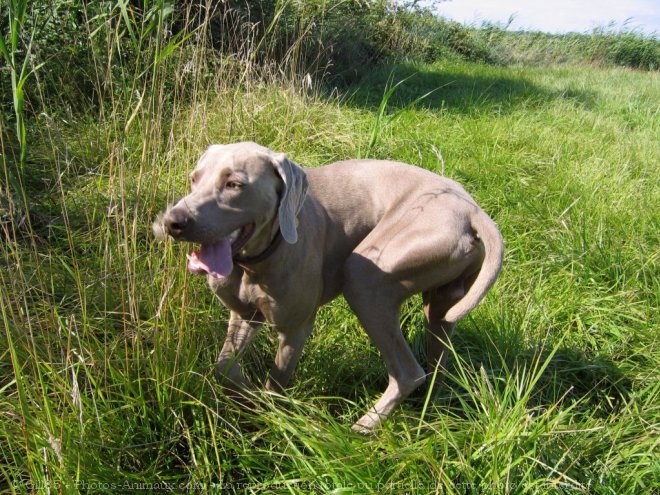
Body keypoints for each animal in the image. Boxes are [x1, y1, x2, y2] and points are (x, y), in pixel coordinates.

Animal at [155, 141, 502, 432]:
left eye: (234, 184)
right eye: (194, 179)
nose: (172, 222)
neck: (257, 261)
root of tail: (473, 210)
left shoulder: (296, 327)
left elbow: (276, 381)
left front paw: (270, 414)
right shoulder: (244, 315)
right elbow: (225, 366)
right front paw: (247, 394)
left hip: (365, 276)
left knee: (407, 372)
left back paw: (361, 428)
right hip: (441, 303)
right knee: (437, 360)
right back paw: (428, 412)